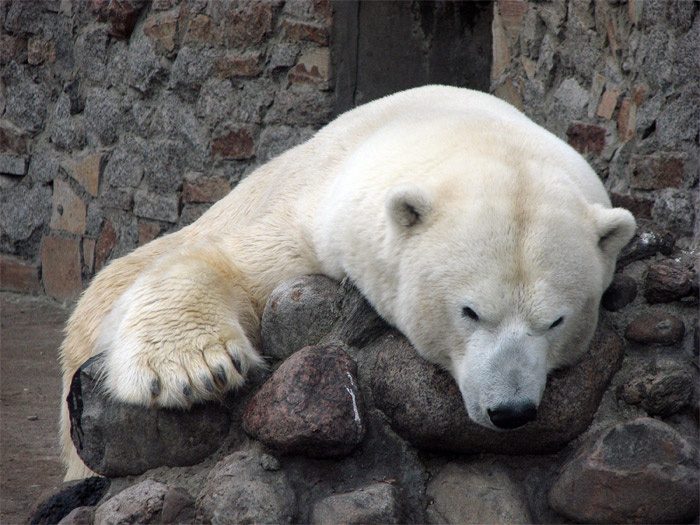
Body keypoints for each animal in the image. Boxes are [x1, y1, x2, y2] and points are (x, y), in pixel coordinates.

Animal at [59, 85, 636, 480]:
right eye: (471, 312)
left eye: (555, 321)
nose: (510, 411)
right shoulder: (324, 212)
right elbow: (230, 261)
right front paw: (195, 369)